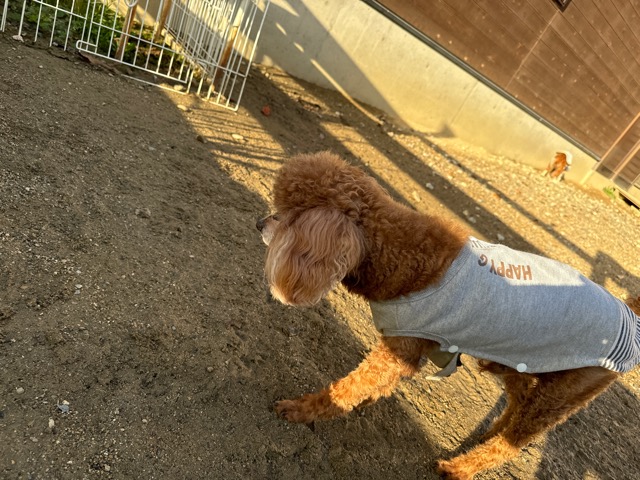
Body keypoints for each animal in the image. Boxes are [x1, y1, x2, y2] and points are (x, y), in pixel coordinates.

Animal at [256, 152, 640, 479]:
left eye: (286, 213)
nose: (259, 222)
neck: (399, 251)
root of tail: (628, 315)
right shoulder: (408, 352)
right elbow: (377, 385)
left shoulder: (397, 350)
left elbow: (350, 387)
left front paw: (303, 409)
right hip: (520, 363)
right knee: (517, 404)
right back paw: (490, 431)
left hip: (560, 391)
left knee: (512, 443)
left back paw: (461, 467)